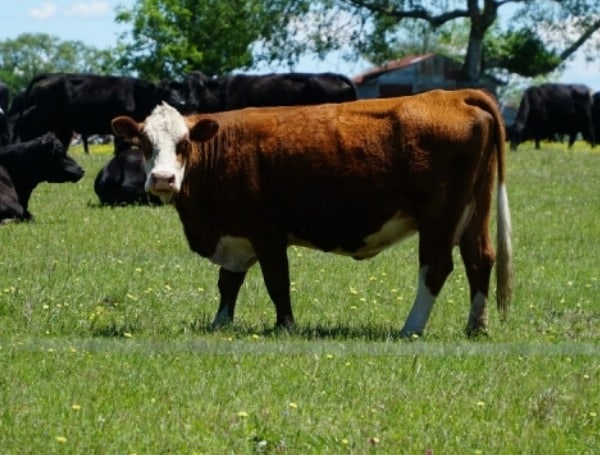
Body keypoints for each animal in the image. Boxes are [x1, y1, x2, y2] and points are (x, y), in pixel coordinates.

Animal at [113, 90, 516, 338]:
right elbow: (228, 283)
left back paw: (410, 328)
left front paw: (285, 326)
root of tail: (453, 94)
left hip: (439, 217)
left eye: (184, 144)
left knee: (436, 267)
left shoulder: (267, 233)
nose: (162, 179)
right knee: (479, 259)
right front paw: (220, 323)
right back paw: (475, 327)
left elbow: (277, 282)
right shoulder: (236, 234)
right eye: (144, 143)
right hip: (474, 211)